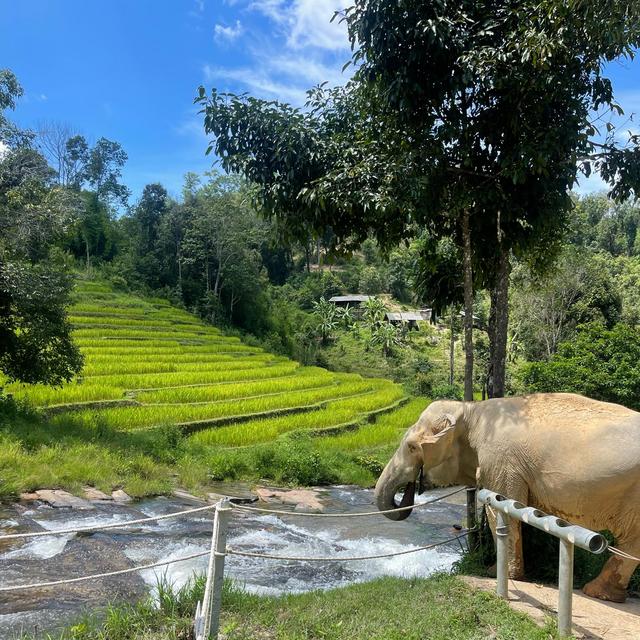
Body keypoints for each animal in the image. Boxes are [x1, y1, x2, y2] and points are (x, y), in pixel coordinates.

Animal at [376, 392, 640, 604]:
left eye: (411, 447)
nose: (410, 488)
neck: (471, 409)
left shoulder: (500, 460)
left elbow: (500, 507)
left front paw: (494, 573)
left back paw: (596, 592)